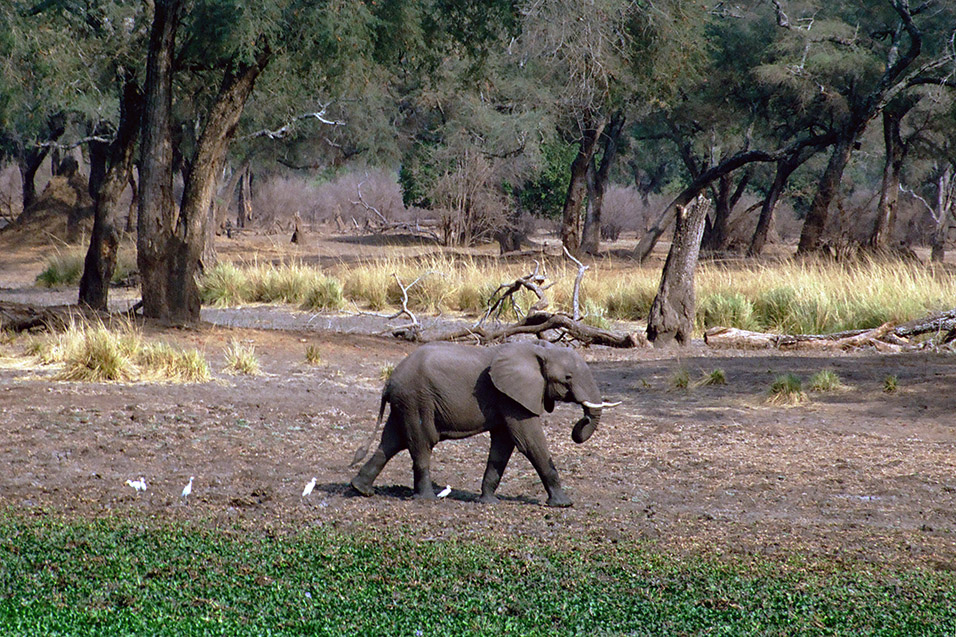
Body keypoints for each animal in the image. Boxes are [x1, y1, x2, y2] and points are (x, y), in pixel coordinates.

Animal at [352, 342, 620, 506]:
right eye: (567, 378)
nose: (582, 421)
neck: (538, 349)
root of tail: (389, 382)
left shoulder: (508, 397)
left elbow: (503, 445)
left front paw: (488, 501)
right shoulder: (511, 396)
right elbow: (529, 441)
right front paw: (564, 504)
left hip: (405, 401)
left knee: (392, 441)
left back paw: (360, 489)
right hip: (416, 399)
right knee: (421, 442)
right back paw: (426, 499)